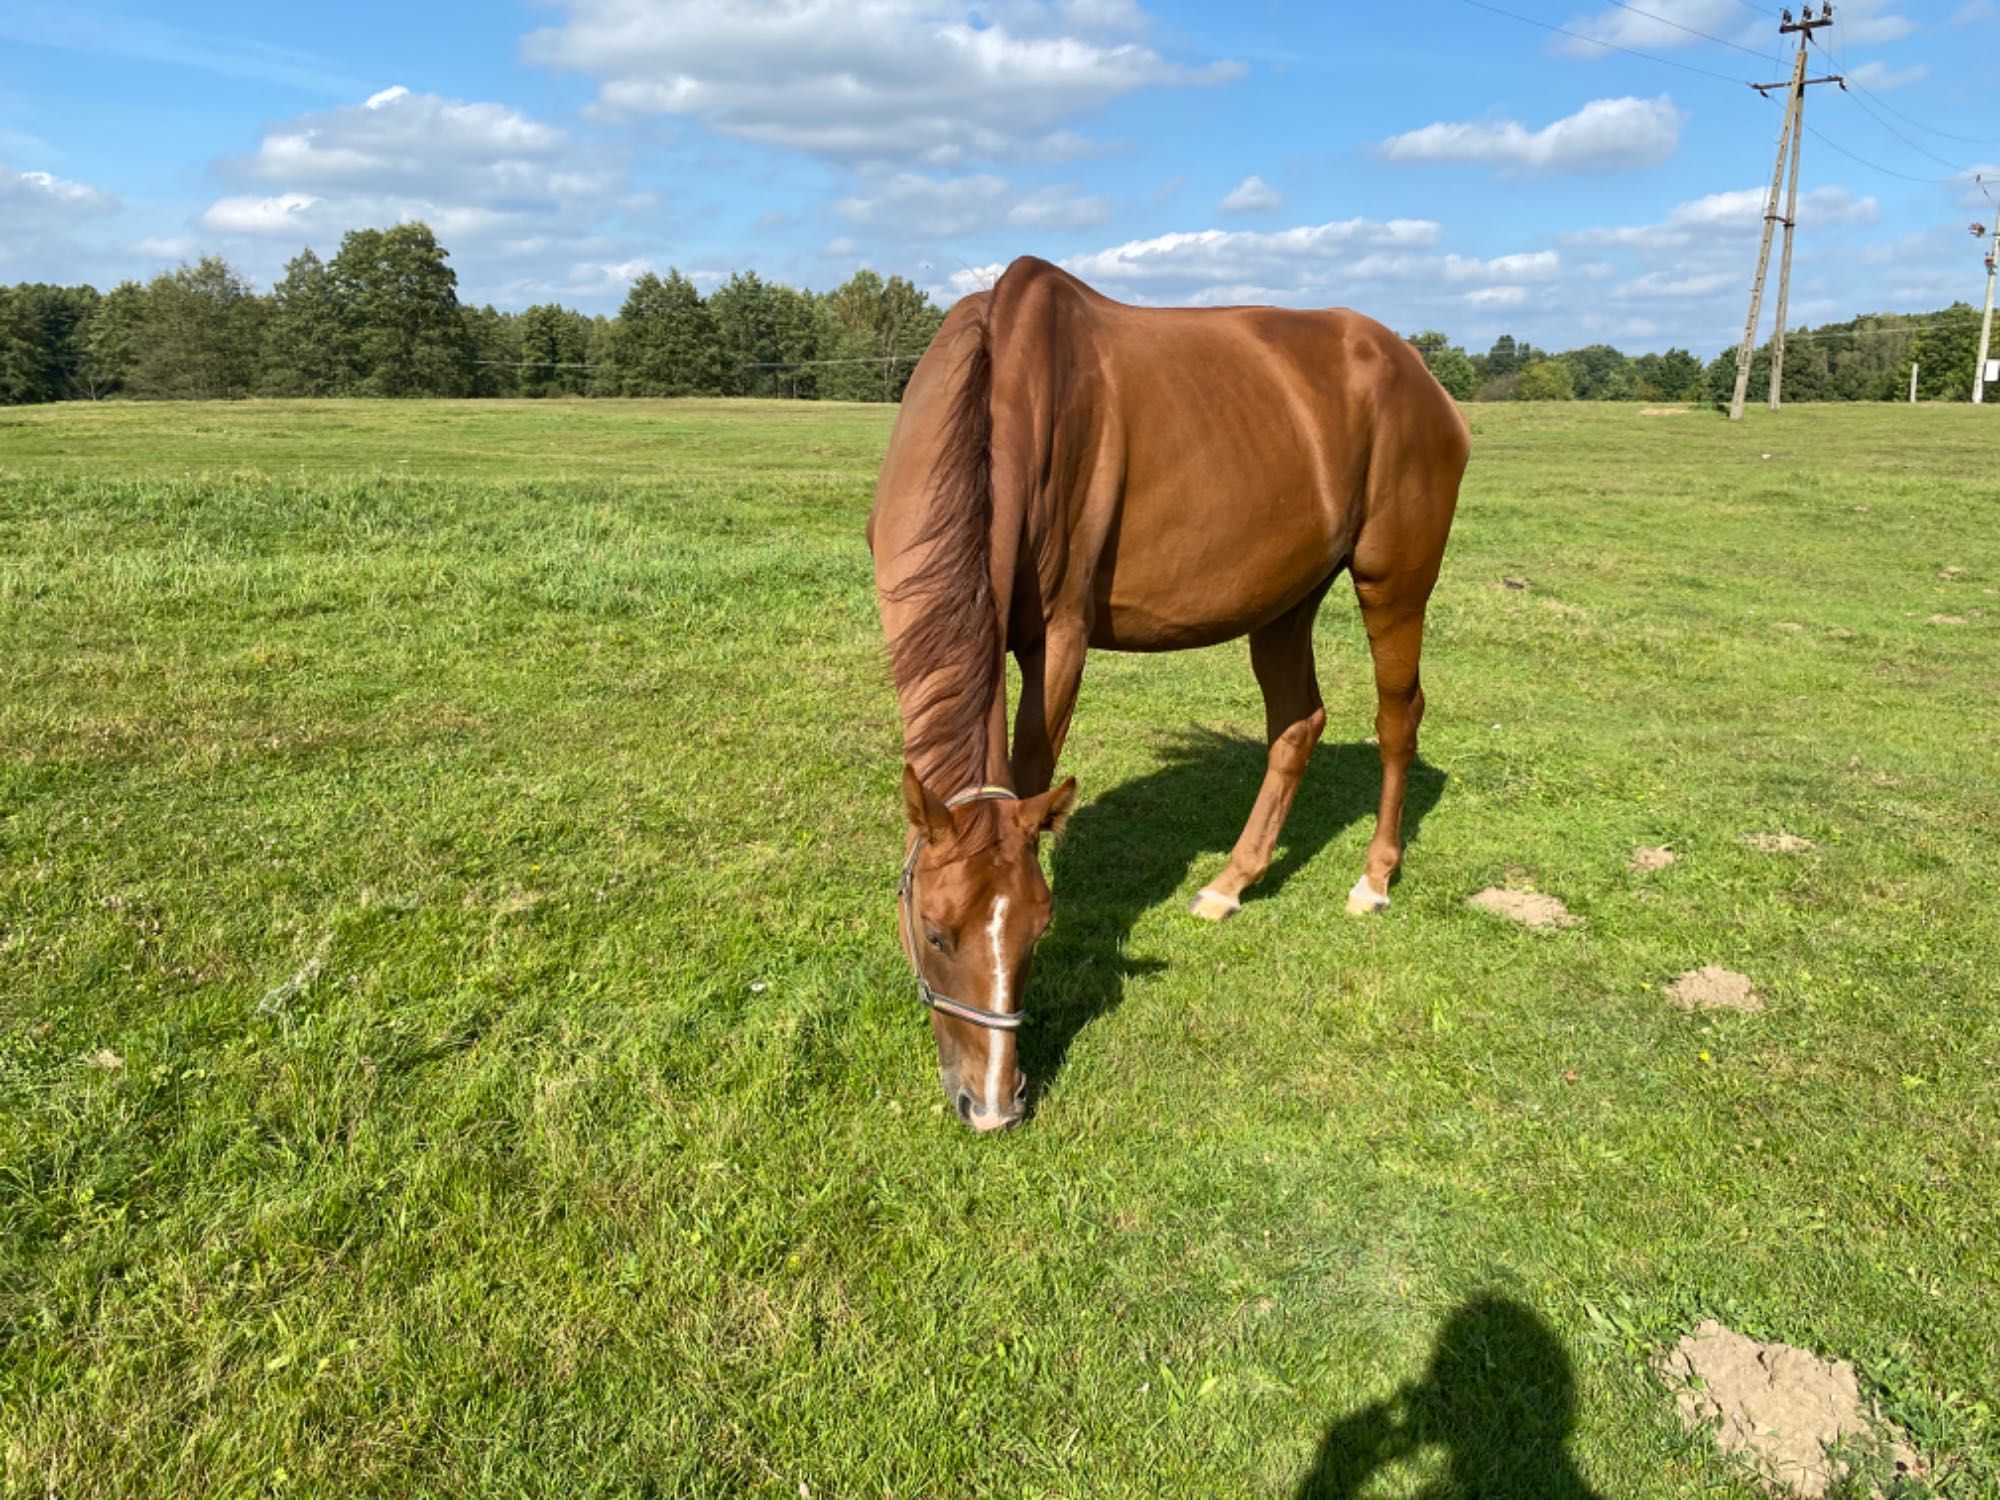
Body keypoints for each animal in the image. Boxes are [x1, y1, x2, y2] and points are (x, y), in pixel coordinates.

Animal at [872, 258, 1472, 1136]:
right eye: (937, 934)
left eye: (1039, 928)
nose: (992, 1106)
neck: (1002, 391)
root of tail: (1418, 372)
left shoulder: (1060, 642)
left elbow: (1029, 774)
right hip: (1285, 599)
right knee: (1298, 724)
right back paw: (1232, 883)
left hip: (1392, 582)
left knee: (1398, 720)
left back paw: (1375, 878)